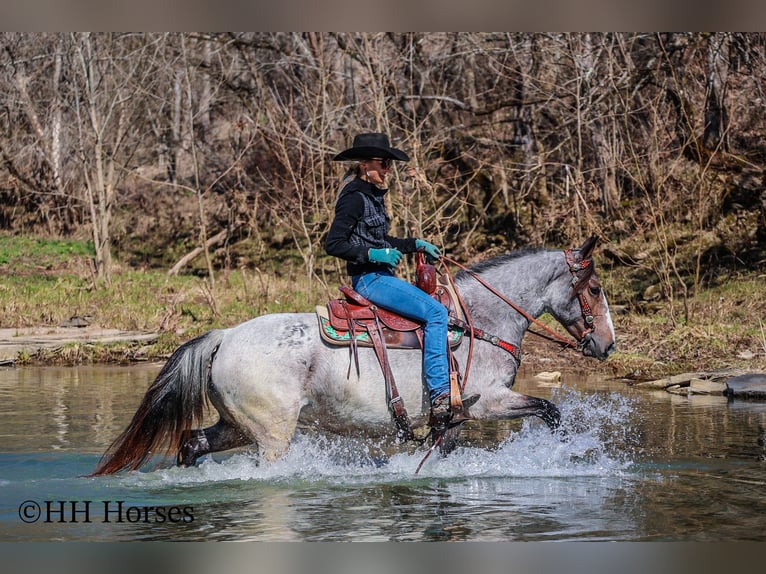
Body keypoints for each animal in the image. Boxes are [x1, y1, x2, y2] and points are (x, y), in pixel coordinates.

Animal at [91, 235, 616, 476]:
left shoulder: (458, 418)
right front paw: (560, 453)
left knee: (193, 443)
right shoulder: (488, 402)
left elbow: (442, 450)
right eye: (594, 288)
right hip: (272, 434)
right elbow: (551, 411)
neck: (481, 322)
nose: (607, 344)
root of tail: (224, 335)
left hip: (235, 424)